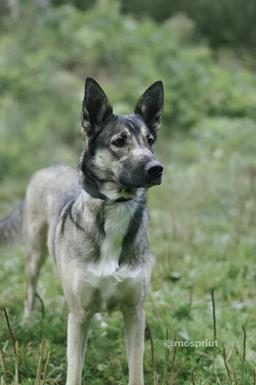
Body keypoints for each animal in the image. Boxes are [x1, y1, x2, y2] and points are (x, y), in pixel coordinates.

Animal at [0, 78, 164, 384]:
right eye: (119, 142)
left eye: (150, 141)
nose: (156, 168)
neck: (116, 209)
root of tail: (47, 168)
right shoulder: (76, 316)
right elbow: (74, 370)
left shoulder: (135, 312)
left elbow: (136, 371)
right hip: (34, 256)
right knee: (30, 289)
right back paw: (27, 320)